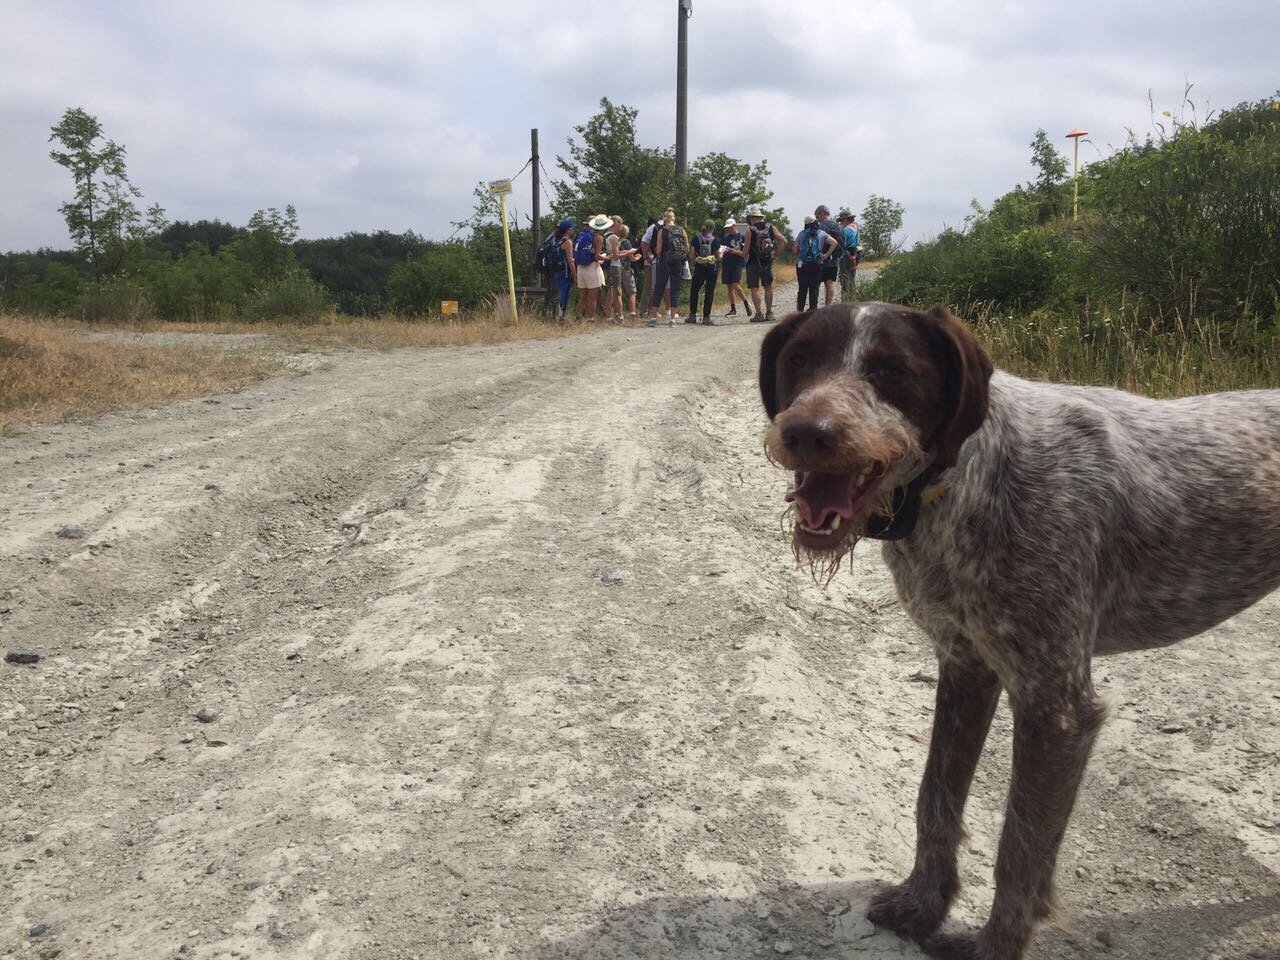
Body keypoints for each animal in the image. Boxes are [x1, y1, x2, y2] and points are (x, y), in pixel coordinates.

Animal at [757, 302, 1280, 960]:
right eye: (800, 358)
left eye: (893, 370)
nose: (808, 432)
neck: (961, 481)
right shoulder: (966, 666)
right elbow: (936, 799)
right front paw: (922, 905)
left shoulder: (1055, 706)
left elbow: (1021, 849)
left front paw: (992, 948)